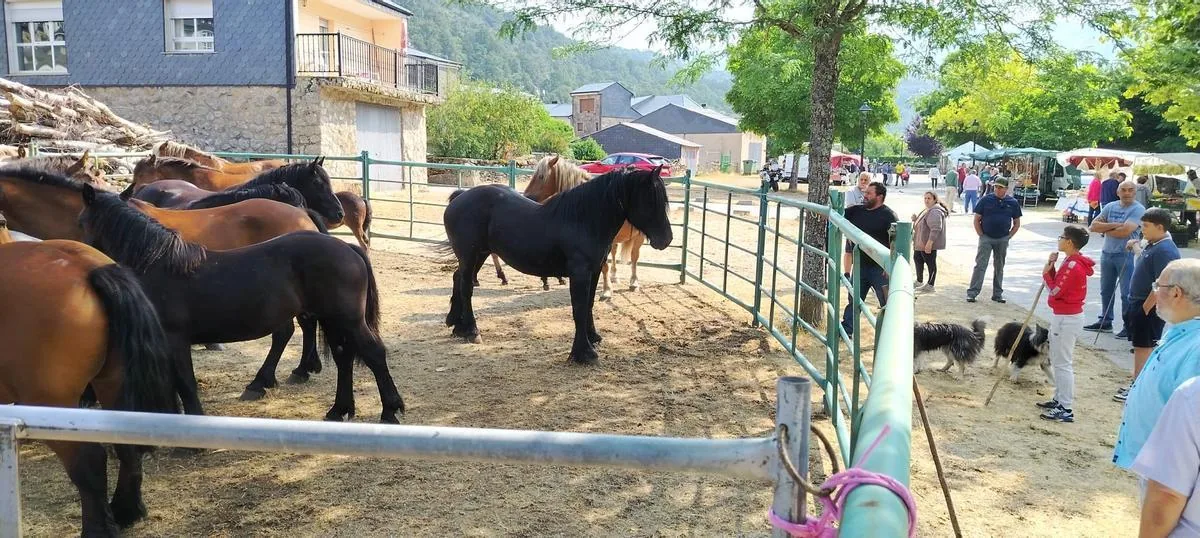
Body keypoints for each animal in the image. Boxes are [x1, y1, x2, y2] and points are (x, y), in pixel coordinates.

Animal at [0, 239, 178, 536]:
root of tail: (88, 268)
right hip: (112, 384)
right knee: (127, 447)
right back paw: (126, 510)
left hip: (51, 403)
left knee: (90, 463)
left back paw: (98, 529)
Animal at [78, 186, 404, 423]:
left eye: (80, 221)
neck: (158, 265)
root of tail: (347, 247)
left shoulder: (175, 340)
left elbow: (186, 383)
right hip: (333, 320)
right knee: (343, 356)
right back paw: (339, 409)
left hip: (346, 319)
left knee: (373, 353)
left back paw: (390, 410)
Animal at [442, 166, 673, 364]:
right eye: (651, 201)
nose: (666, 239)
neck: (583, 220)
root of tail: (459, 197)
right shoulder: (580, 273)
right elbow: (579, 308)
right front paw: (584, 353)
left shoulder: (595, 270)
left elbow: (589, 304)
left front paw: (593, 337)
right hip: (470, 254)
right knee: (466, 287)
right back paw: (472, 331)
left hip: (479, 255)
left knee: (458, 279)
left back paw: (457, 325)